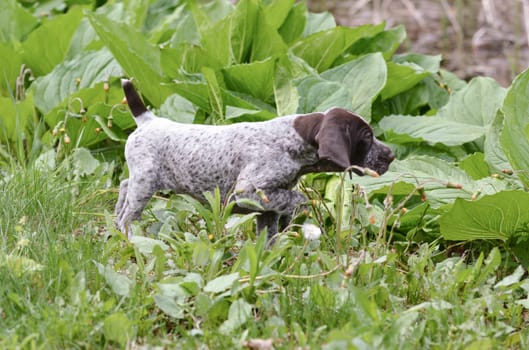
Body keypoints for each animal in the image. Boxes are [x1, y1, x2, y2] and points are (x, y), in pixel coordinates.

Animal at [117, 80, 394, 241]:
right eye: (366, 137)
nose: (391, 154)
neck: (292, 141)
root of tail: (148, 120)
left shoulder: (266, 206)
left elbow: (269, 236)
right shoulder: (248, 193)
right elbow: (298, 198)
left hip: (142, 181)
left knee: (123, 187)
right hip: (145, 184)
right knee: (127, 216)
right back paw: (127, 238)